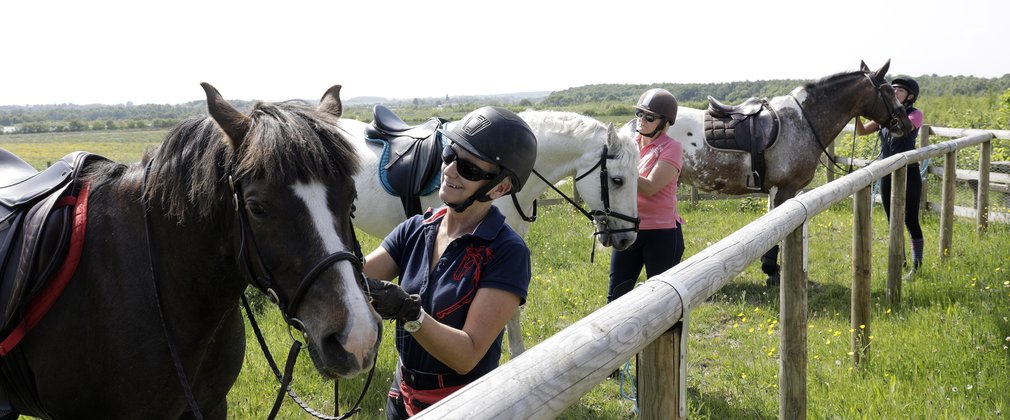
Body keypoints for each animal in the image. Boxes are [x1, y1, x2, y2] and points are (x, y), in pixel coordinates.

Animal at [618, 60, 913, 284]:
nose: (905, 124)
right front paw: (772, 272)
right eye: (887, 91)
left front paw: (770, 269)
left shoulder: (776, 190)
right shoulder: (785, 190)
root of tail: (629, 127)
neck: (803, 120)